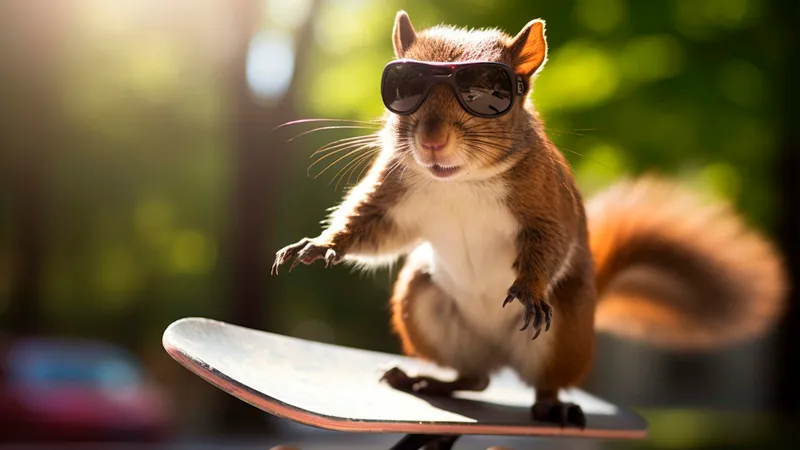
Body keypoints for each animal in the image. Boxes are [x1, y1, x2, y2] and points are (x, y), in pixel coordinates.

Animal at [272, 11, 787, 428]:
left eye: (489, 95)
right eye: (403, 91)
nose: (432, 139)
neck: (459, 182)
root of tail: (500, 355)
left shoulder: (546, 202)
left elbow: (549, 242)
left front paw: (528, 288)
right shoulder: (395, 193)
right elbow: (370, 226)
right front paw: (320, 245)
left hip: (568, 327)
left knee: (543, 384)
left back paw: (553, 405)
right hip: (421, 299)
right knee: (474, 378)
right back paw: (427, 382)